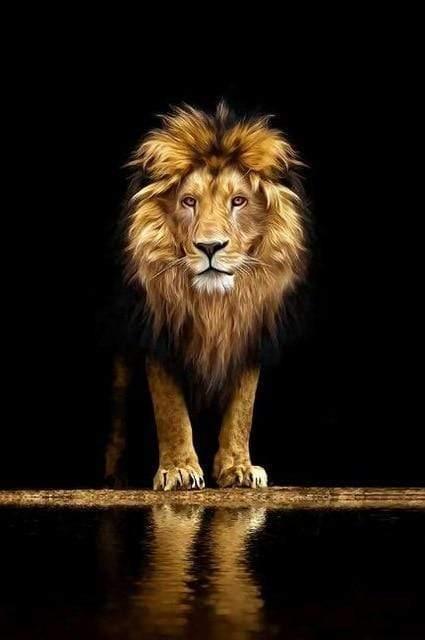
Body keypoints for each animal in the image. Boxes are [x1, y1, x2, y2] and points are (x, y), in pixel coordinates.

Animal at [104, 102, 308, 490]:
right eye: (188, 202)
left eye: (239, 201)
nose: (210, 246)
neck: (213, 304)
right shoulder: (159, 334)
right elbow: (170, 409)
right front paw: (179, 469)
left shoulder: (248, 334)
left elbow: (242, 409)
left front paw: (239, 468)